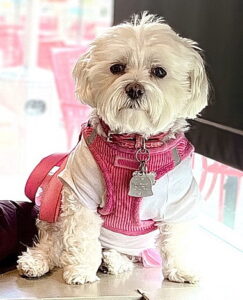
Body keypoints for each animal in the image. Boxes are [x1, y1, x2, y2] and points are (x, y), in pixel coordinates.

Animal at [17, 12, 208, 284]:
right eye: (116, 68)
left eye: (159, 71)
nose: (135, 88)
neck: (136, 144)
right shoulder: (80, 192)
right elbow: (82, 235)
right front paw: (81, 270)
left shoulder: (180, 201)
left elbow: (178, 239)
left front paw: (182, 269)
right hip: (53, 211)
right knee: (53, 243)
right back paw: (37, 261)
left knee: (126, 256)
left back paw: (113, 261)